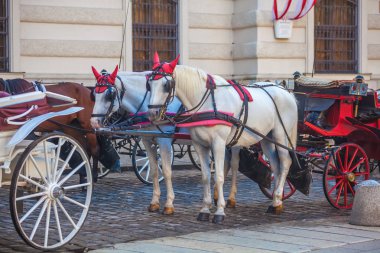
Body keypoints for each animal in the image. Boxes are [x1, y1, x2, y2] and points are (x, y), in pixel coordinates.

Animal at [91, 65, 182, 213]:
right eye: (94, 94)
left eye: (110, 95)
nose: (94, 122)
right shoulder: (147, 140)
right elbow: (154, 170)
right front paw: (154, 202)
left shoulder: (164, 140)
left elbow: (167, 171)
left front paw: (169, 204)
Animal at [147, 53, 298, 223]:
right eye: (149, 84)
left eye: (166, 85)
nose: (152, 114)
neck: (207, 102)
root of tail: (285, 91)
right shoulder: (200, 145)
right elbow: (206, 176)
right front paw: (205, 209)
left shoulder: (218, 143)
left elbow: (218, 176)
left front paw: (219, 211)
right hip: (266, 138)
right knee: (276, 165)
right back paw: (276, 202)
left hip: (281, 135)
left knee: (285, 162)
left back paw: (277, 198)